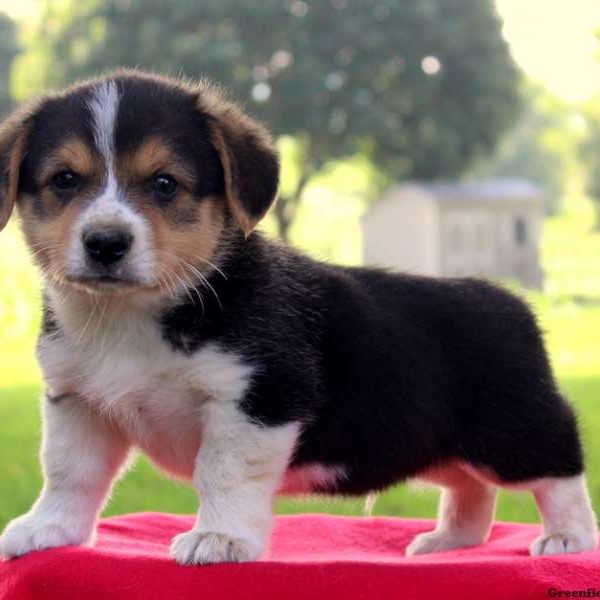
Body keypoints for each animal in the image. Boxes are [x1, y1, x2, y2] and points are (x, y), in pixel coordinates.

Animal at [0, 70, 596, 564]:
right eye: (64, 180)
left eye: (165, 183)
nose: (105, 244)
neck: (133, 315)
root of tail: (511, 302)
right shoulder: (78, 402)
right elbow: (69, 474)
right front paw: (48, 531)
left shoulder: (257, 398)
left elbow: (222, 473)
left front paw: (219, 538)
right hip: (445, 445)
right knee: (471, 487)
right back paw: (450, 541)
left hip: (514, 431)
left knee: (560, 468)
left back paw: (567, 537)